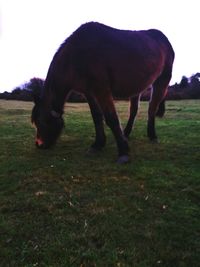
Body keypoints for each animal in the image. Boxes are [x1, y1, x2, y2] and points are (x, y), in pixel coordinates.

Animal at [30, 21, 173, 163]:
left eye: (42, 121)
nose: (39, 144)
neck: (77, 54)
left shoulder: (102, 89)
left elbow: (111, 118)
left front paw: (123, 151)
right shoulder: (89, 92)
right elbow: (97, 117)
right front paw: (98, 144)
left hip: (162, 81)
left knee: (152, 108)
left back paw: (152, 135)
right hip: (136, 87)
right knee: (133, 111)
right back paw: (126, 133)